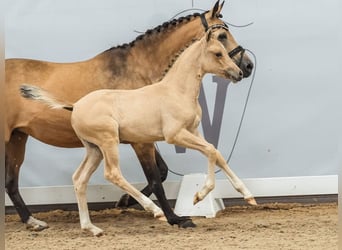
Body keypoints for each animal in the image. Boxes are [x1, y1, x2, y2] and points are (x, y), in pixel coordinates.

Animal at [4, 0, 252, 230]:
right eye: (222, 36)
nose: (246, 68)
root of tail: (74, 106)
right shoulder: (146, 141)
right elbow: (156, 177)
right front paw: (175, 217)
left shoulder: (156, 136)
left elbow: (177, 166)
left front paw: (126, 202)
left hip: (22, 138)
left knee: (14, 182)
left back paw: (37, 221)